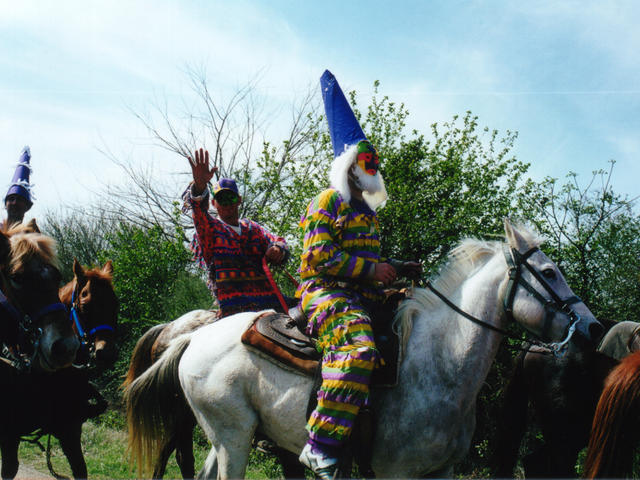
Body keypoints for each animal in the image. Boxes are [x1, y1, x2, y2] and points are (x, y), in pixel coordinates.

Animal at [126, 220, 604, 476]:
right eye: (549, 272)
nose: (594, 327)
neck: (441, 366)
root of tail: (194, 335)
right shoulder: (397, 472)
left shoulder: (442, 471)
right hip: (233, 438)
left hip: (227, 438)